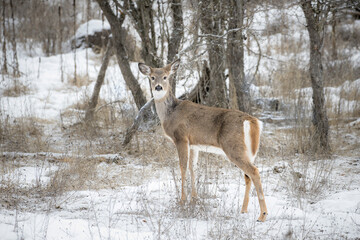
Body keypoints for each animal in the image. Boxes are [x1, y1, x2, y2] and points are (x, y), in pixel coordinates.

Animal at [139, 59, 268, 221]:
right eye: (152, 77)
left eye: (165, 77)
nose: (158, 87)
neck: (170, 113)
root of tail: (253, 122)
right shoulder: (194, 144)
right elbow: (193, 167)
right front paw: (194, 199)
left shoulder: (181, 137)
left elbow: (182, 167)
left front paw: (182, 200)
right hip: (247, 150)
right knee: (247, 175)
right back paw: (243, 210)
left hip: (233, 146)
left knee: (254, 171)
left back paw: (262, 215)